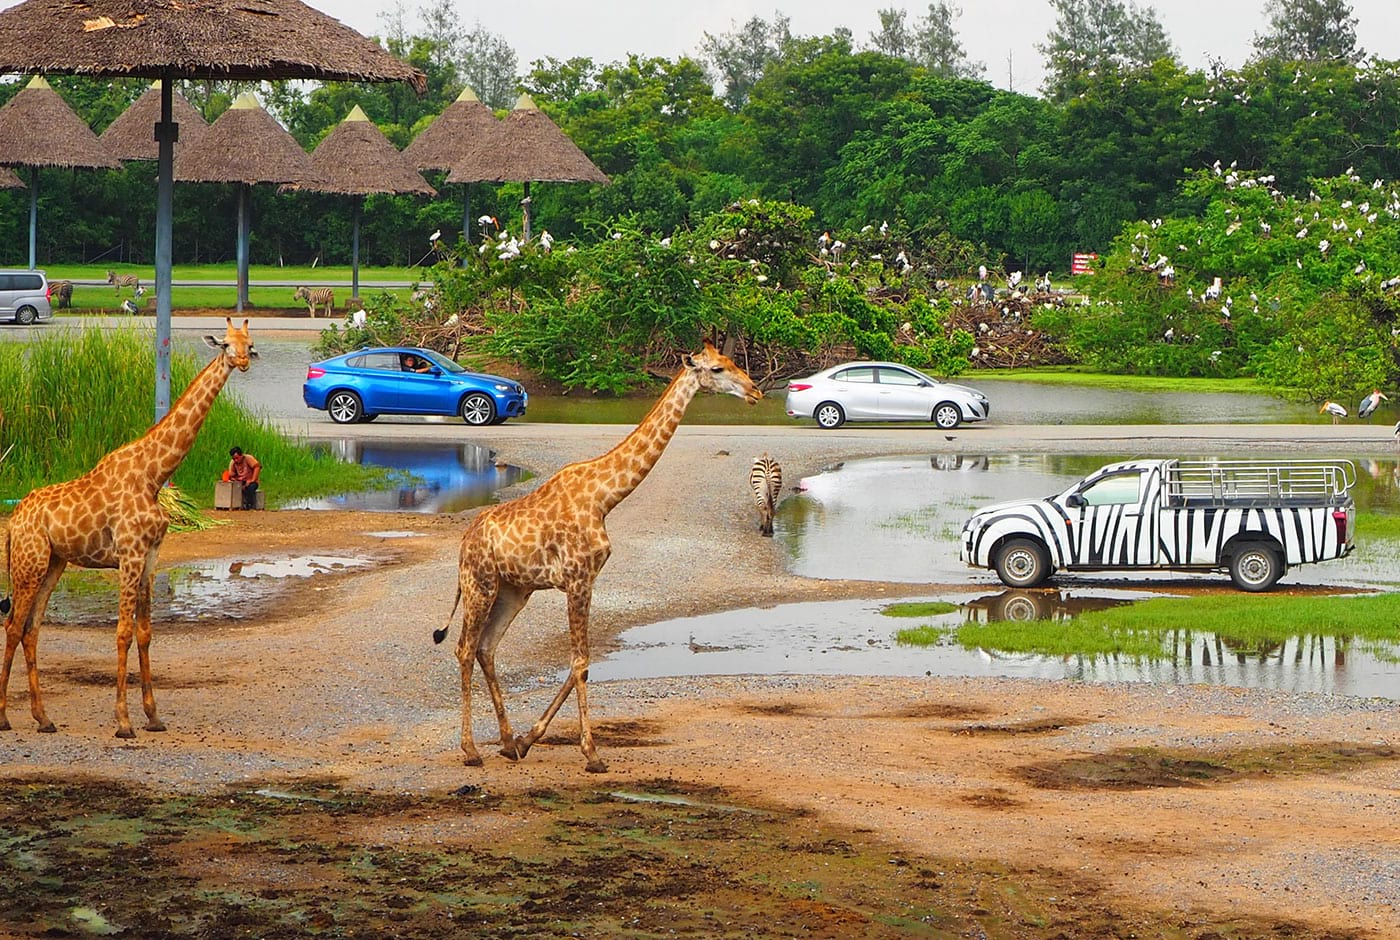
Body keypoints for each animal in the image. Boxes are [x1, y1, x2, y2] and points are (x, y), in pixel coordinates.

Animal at [1, 318, 257, 738]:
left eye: (249, 343)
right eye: (224, 343)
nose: (244, 362)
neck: (154, 475)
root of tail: (15, 519)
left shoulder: (151, 557)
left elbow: (145, 632)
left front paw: (153, 716)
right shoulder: (130, 554)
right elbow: (122, 631)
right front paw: (123, 722)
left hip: (54, 563)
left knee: (31, 628)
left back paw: (43, 718)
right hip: (30, 561)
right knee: (12, 625)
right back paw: (5, 717)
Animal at [434, 340, 761, 772]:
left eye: (732, 362)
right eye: (718, 369)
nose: (756, 391)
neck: (605, 498)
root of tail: (464, 542)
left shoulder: (586, 580)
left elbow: (580, 663)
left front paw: (528, 739)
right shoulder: (577, 578)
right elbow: (581, 662)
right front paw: (592, 754)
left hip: (514, 591)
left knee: (487, 648)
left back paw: (505, 741)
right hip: (480, 585)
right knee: (464, 649)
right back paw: (470, 750)